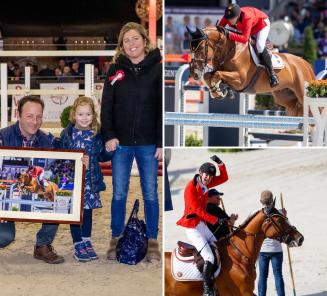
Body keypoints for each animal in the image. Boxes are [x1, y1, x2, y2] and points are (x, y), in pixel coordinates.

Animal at [188, 26, 316, 117]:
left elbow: (217, 74)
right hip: (285, 97)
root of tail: (304, 63)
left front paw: (218, 91)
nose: (194, 73)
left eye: (200, 48)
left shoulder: (241, 80)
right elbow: (208, 75)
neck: (229, 50)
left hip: (302, 92)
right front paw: (217, 91)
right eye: (191, 48)